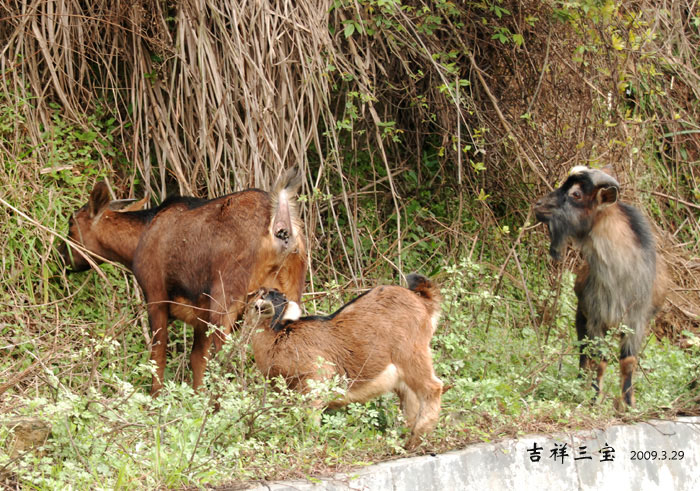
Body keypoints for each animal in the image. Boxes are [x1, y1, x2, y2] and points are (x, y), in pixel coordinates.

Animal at [61, 171, 308, 394]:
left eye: (71, 224)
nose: (62, 256)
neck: (134, 246)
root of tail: (281, 229)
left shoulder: (156, 295)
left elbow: (158, 356)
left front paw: (154, 400)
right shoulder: (200, 316)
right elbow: (197, 361)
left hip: (226, 297)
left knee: (226, 360)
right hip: (288, 294)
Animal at [249, 272, 440, 450]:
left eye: (262, 295)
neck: (279, 336)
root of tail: (422, 300)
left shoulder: (316, 379)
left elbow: (311, 419)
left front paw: (309, 445)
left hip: (412, 354)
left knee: (433, 387)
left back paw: (417, 440)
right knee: (411, 398)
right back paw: (404, 438)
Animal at [536, 165, 668, 408]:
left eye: (576, 194)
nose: (539, 206)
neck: (620, 274)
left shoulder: (636, 322)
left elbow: (628, 361)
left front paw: (628, 403)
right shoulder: (597, 319)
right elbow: (599, 360)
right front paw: (594, 399)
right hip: (582, 315)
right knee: (583, 353)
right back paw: (579, 385)